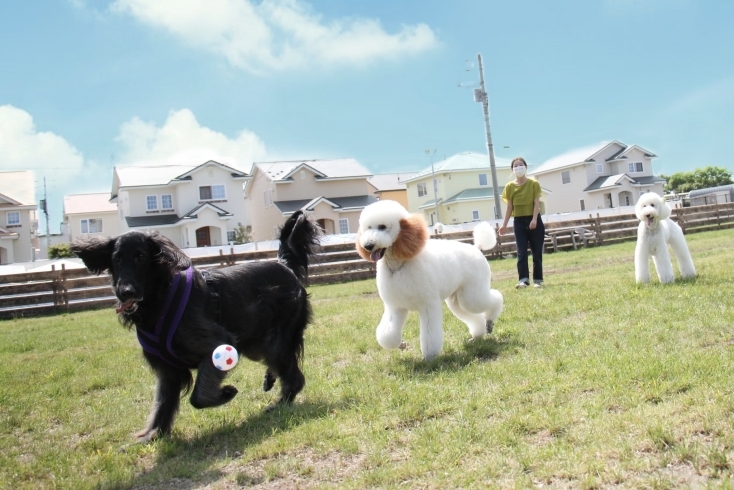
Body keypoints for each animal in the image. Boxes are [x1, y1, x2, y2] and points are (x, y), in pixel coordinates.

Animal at [70, 212, 320, 442]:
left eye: (140, 257)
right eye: (117, 259)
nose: (126, 292)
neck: (160, 298)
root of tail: (285, 265)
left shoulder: (217, 344)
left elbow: (198, 398)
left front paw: (226, 393)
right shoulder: (167, 370)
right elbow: (162, 405)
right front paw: (151, 435)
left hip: (273, 341)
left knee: (295, 378)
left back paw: (280, 403)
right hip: (255, 344)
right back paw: (270, 379)